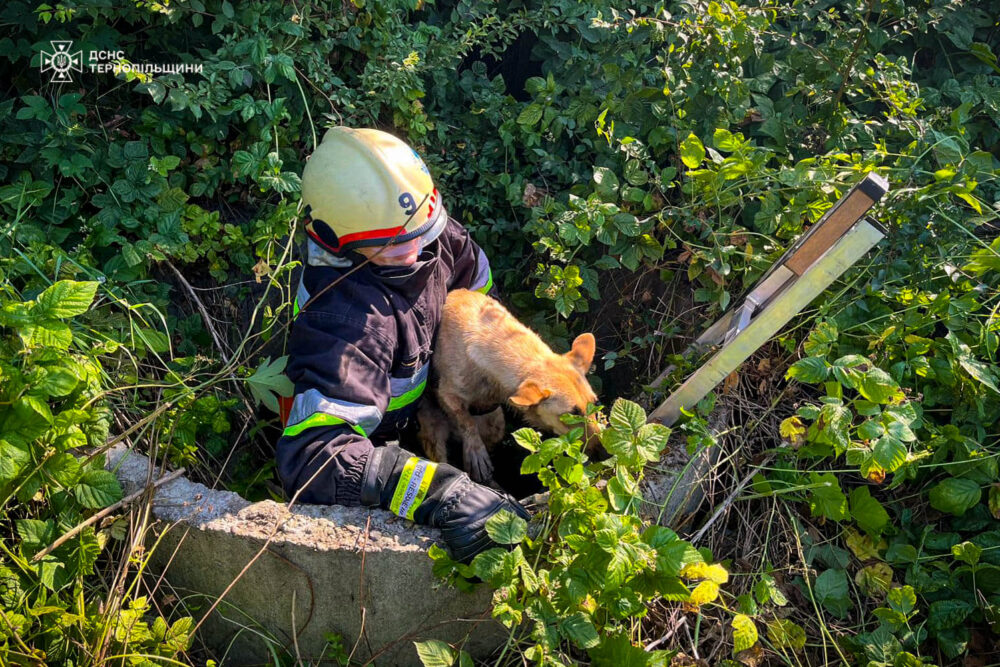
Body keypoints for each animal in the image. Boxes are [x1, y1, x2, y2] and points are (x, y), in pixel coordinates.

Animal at [416, 290, 596, 482]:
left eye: (595, 403)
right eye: (571, 414)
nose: (604, 453)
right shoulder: (447, 394)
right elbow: (466, 420)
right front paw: (476, 452)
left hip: (496, 424)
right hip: (434, 435)